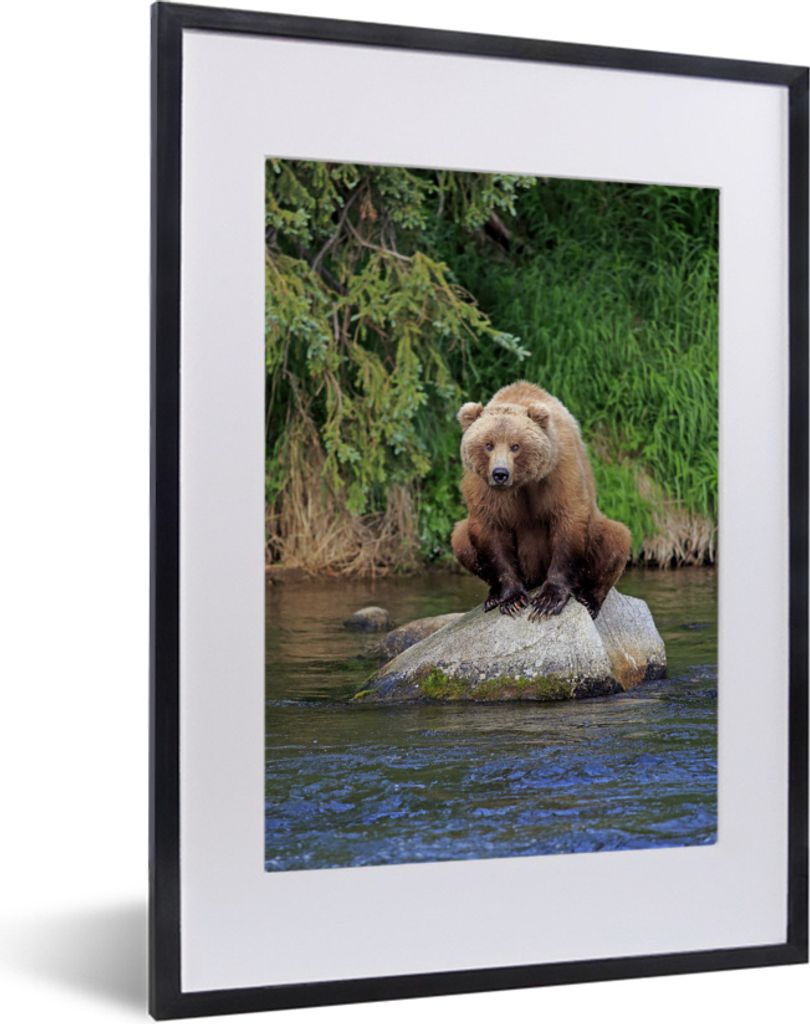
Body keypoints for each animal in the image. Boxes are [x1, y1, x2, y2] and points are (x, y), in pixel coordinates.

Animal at [450, 380, 631, 620]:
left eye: (515, 446)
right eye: (488, 444)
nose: (500, 473)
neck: (523, 483)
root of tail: (534, 578)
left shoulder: (560, 470)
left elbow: (569, 520)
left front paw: (548, 600)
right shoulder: (483, 487)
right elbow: (491, 531)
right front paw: (512, 599)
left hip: (597, 532)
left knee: (615, 538)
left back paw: (589, 598)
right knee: (460, 538)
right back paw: (493, 597)